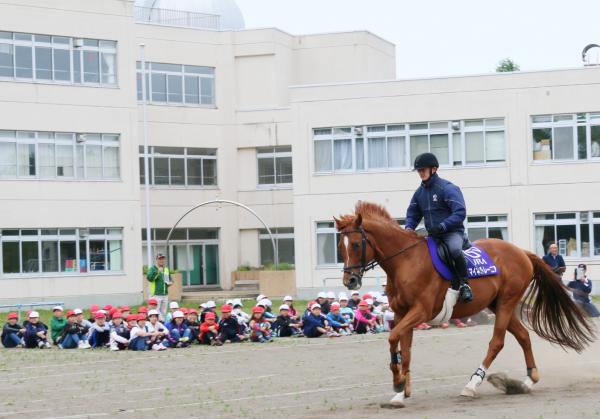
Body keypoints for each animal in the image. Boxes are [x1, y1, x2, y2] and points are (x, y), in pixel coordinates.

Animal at [332, 202, 596, 408]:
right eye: (339, 247)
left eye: (356, 244)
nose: (350, 281)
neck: (405, 262)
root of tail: (521, 252)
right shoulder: (401, 314)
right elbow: (404, 349)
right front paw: (400, 391)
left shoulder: (420, 312)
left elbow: (392, 337)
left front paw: (398, 381)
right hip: (497, 304)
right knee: (523, 336)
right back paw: (528, 381)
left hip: (507, 302)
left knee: (497, 342)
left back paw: (473, 384)